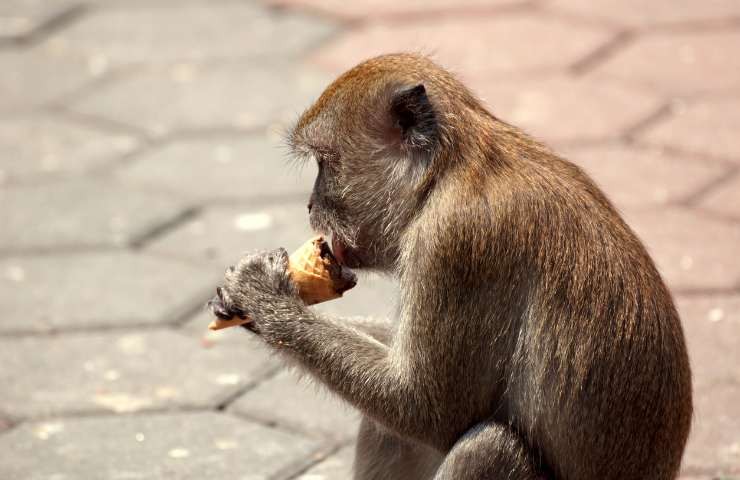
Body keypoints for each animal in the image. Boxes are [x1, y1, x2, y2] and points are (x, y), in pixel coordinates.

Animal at [208, 53, 692, 480]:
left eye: (325, 163)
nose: (310, 205)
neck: (445, 174)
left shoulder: (455, 243)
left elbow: (426, 409)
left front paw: (263, 293)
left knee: (488, 447)